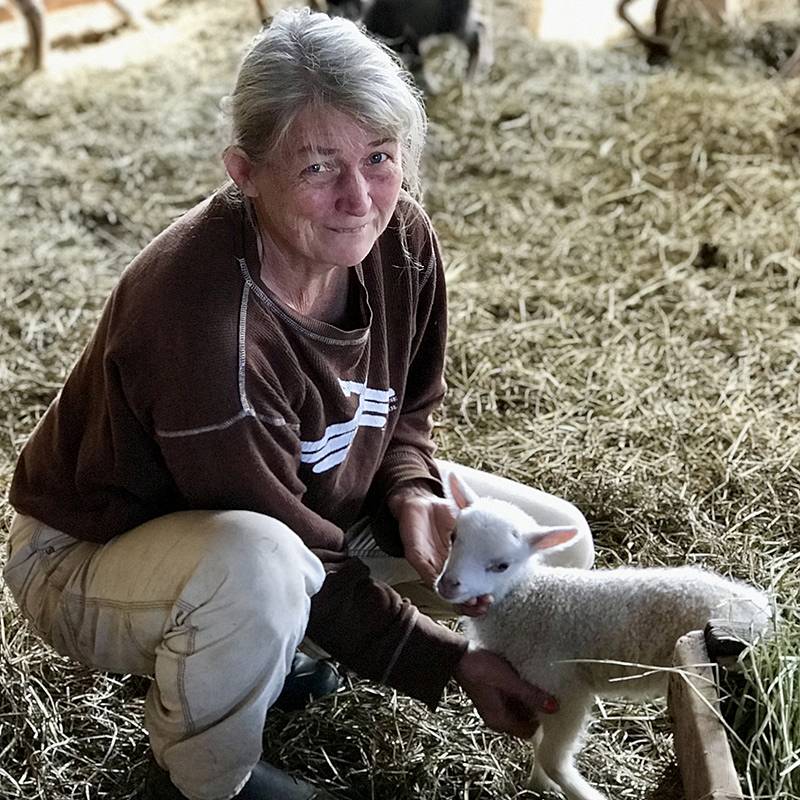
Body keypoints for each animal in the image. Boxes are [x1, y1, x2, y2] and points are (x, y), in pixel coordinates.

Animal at [434, 476, 772, 800]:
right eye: (453, 537)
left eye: (501, 565)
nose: (448, 584)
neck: (527, 597)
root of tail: (763, 609)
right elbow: (538, 742)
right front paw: (537, 786)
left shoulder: (563, 689)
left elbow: (551, 758)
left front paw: (580, 793)